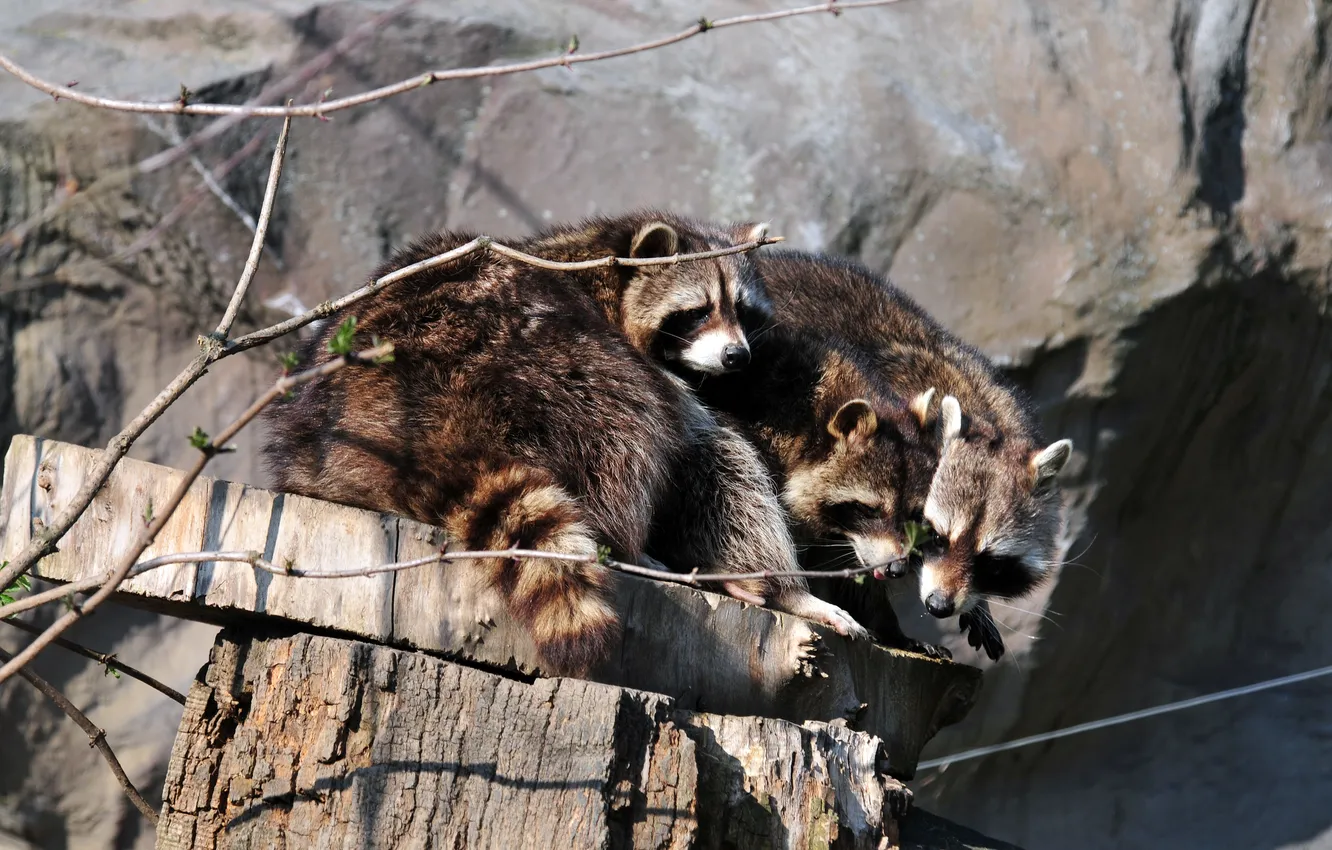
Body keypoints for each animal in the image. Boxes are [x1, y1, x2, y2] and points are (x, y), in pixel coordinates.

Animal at [755, 250, 1074, 659]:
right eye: (935, 536)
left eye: (990, 560)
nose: (939, 606)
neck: (980, 413)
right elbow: (846, 560)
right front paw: (886, 624)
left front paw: (978, 605)